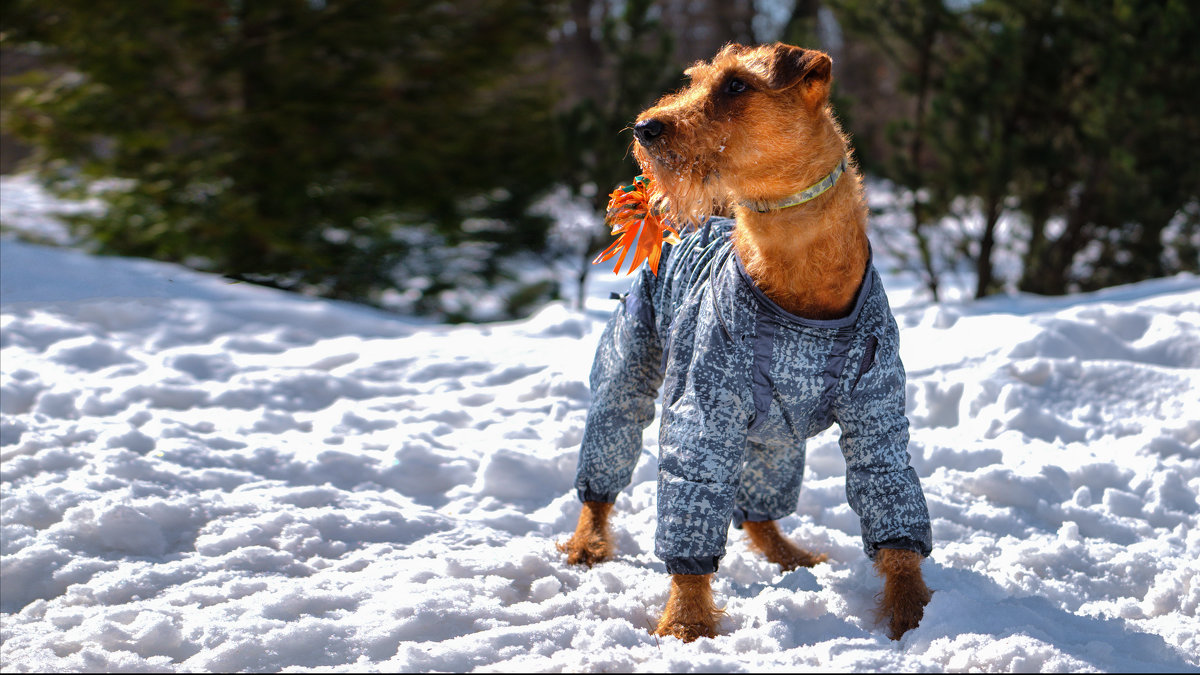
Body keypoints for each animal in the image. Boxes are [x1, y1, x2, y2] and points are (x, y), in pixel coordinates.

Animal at [556, 42, 931, 638]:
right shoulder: (703, 412)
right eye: (696, 80)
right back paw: (587, 543)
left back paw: (790, 555)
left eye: (736, 85)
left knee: (758, 511)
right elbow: (691, 505)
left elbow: (892, 511)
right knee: (606, 462)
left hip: (778, 439)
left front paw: (911, 614)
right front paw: (686, 625)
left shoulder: (877, 416)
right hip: (628, 369)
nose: (645, 127)